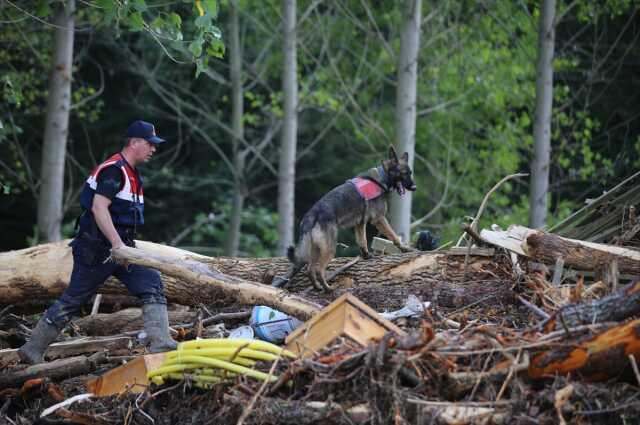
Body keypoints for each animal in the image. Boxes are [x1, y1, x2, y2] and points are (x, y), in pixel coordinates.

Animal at [272, 147, 418, 292]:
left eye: (410, 173)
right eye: (405, 173)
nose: (414, 188)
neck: (382, 177)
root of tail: (313, 214)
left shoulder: (360, 223)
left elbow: (362, 241)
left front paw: (366, 256)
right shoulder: (379, 219)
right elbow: (393, 236)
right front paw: (405, 249)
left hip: (316, 249)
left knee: (310, 269)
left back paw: (317, 287)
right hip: (330, 248)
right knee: (319, 269)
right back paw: (328, 288)